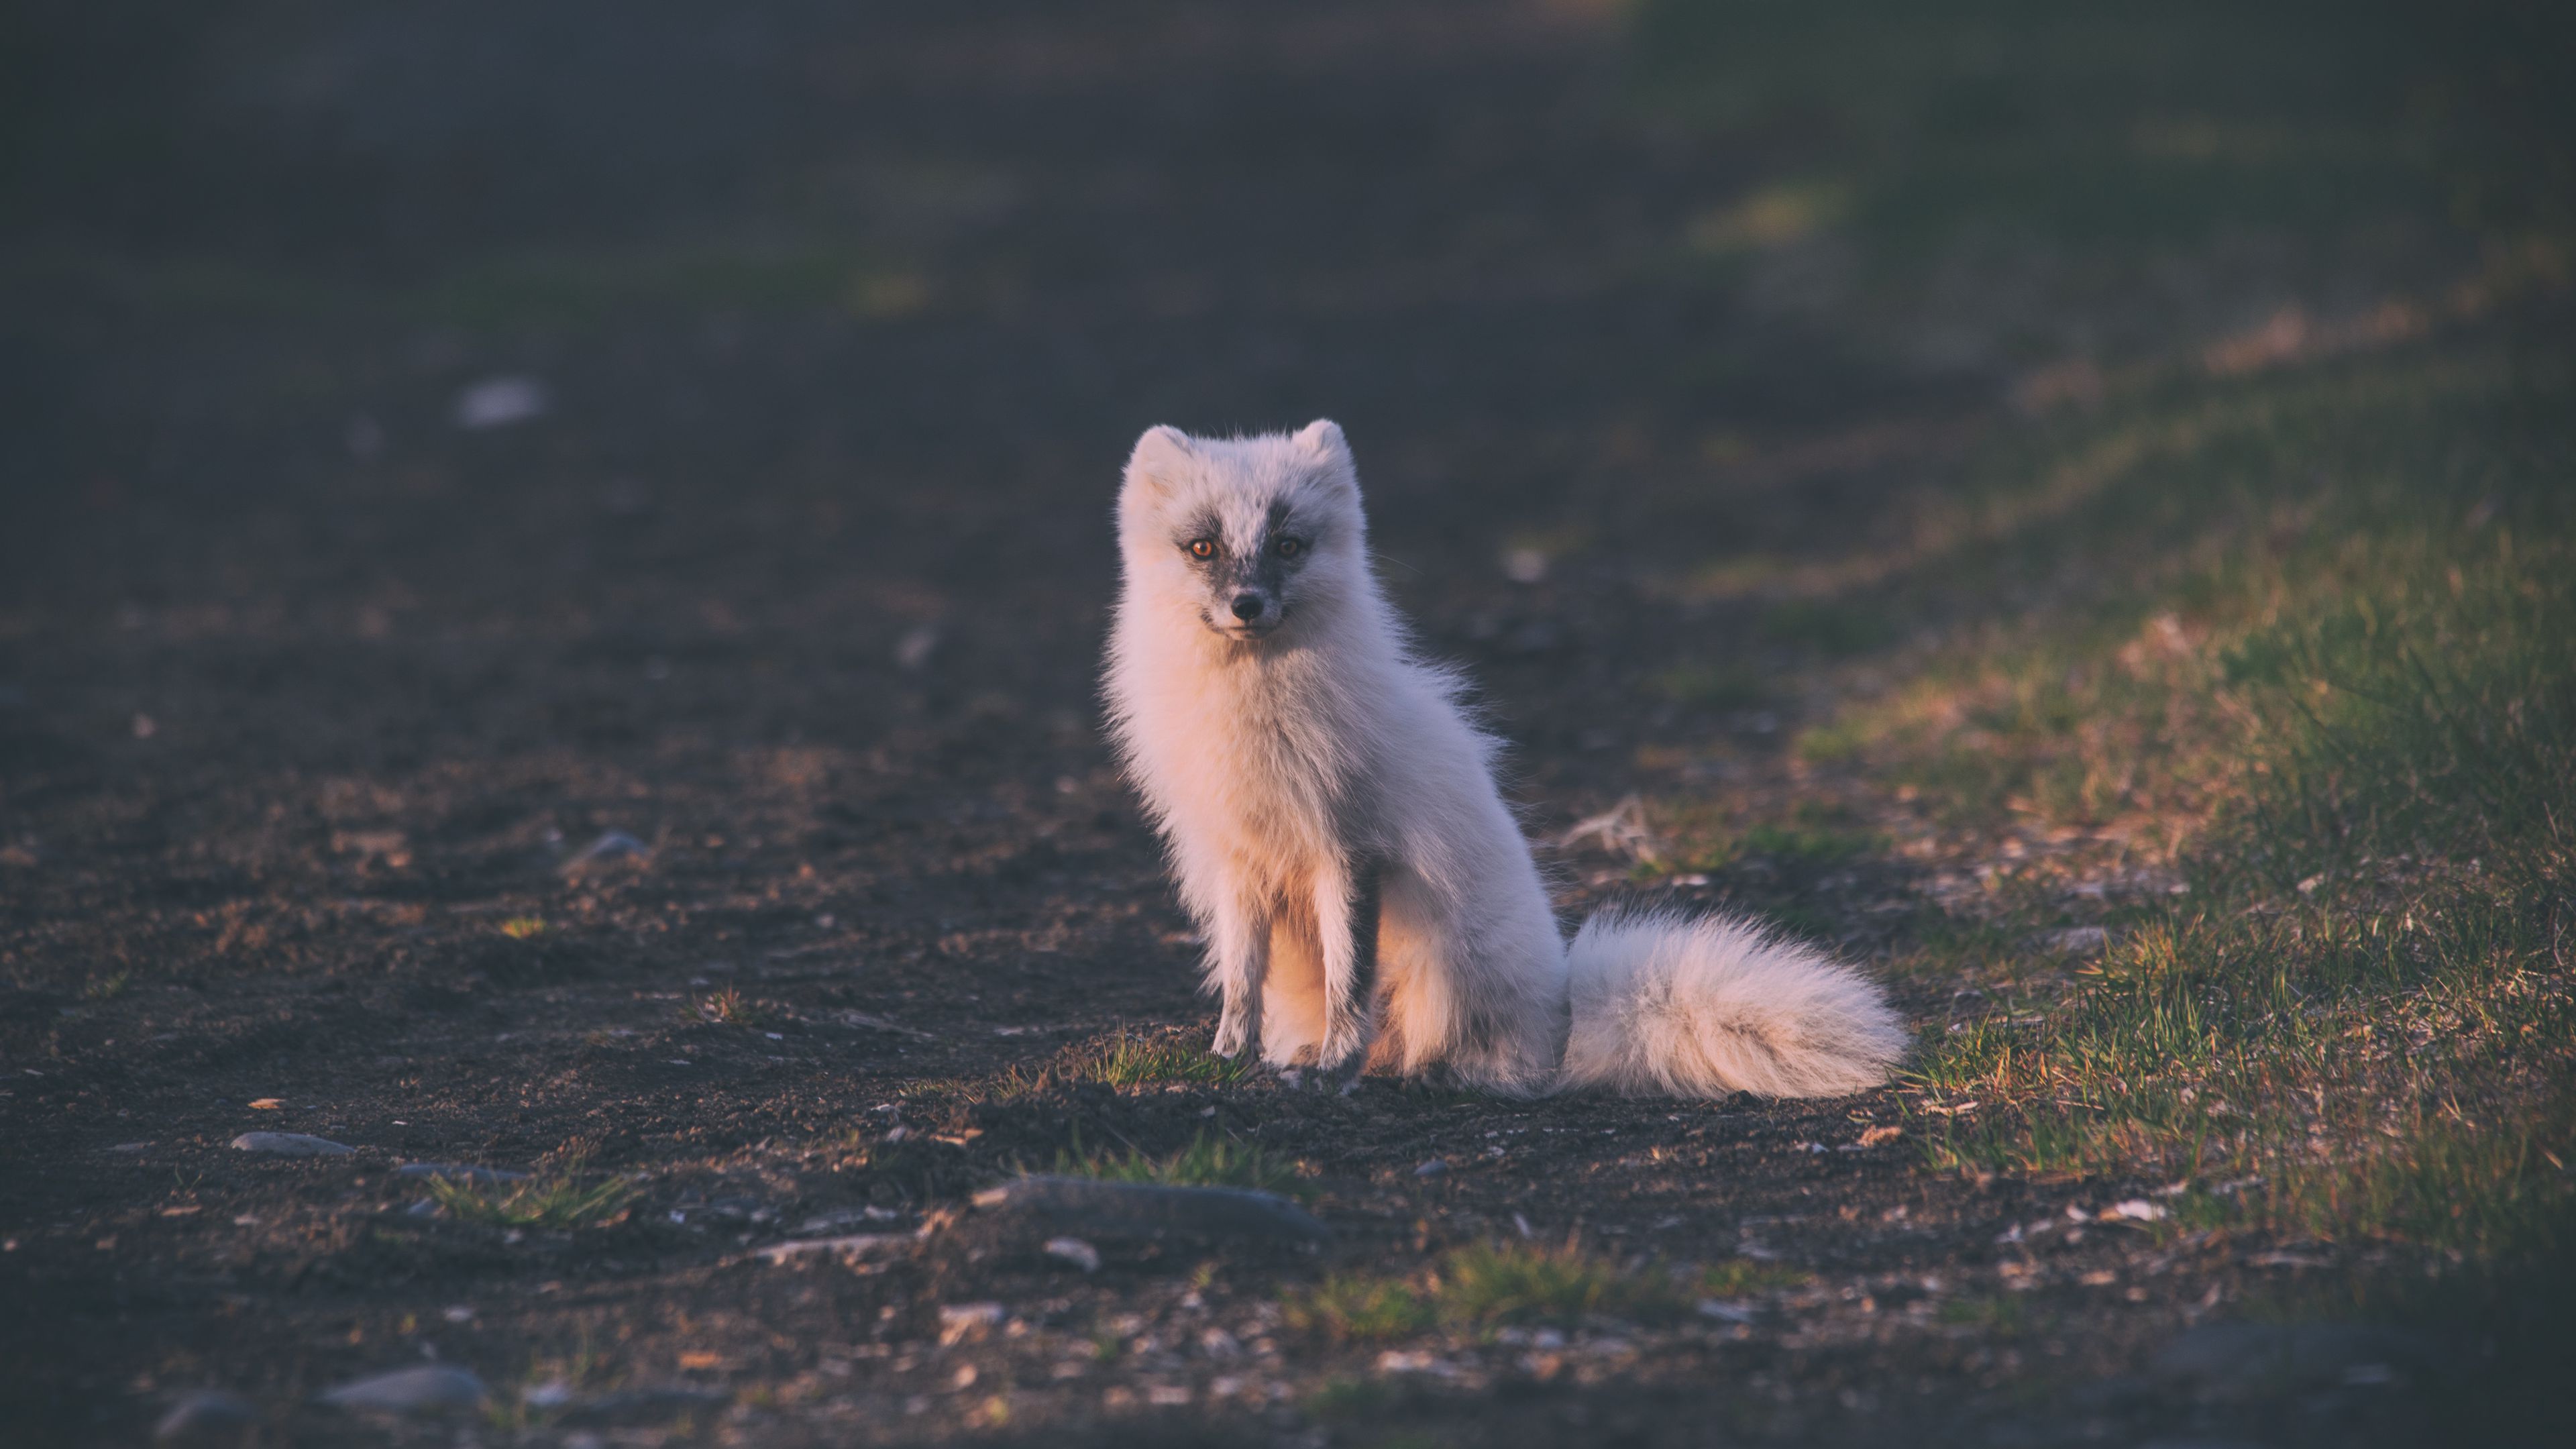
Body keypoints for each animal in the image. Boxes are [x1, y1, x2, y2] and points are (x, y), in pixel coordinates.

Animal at [1102, 419, 1905, 1099]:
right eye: (1203, 548)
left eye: (1288, 546)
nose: (1247, 605)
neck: (1248, 718)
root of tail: (1563, 1019)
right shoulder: (1237, 860)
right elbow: (1241, 981)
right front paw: (1228, 1058)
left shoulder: (1350, 848)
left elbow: (1348, 984)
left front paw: (1335, 1070)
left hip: (1444, 971)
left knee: (1468, 1058)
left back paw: (1421, 1071)